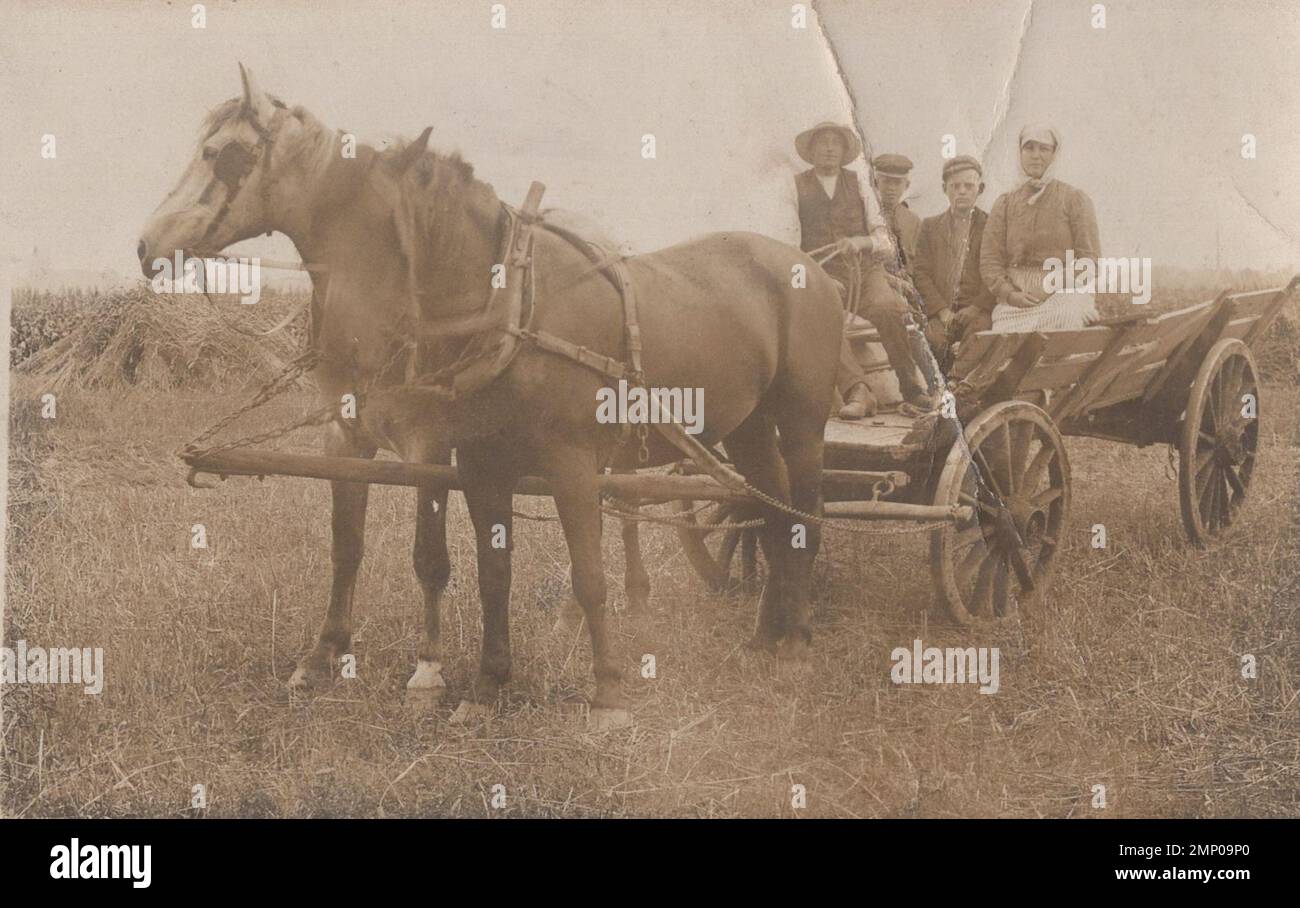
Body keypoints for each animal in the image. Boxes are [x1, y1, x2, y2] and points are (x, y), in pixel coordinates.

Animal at [134, 67, 842, 723]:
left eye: (227, 154)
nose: (148, 246)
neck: (506, 309)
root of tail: (812, 268)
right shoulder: (449, 455)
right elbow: (449, 564)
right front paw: (472, 685)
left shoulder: (528, 456)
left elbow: (559, 571)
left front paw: (600, 692)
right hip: (745, 426)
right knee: (765, 510)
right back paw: (764, 635)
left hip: (803, 424)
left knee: (801, 514)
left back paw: (797, 641)